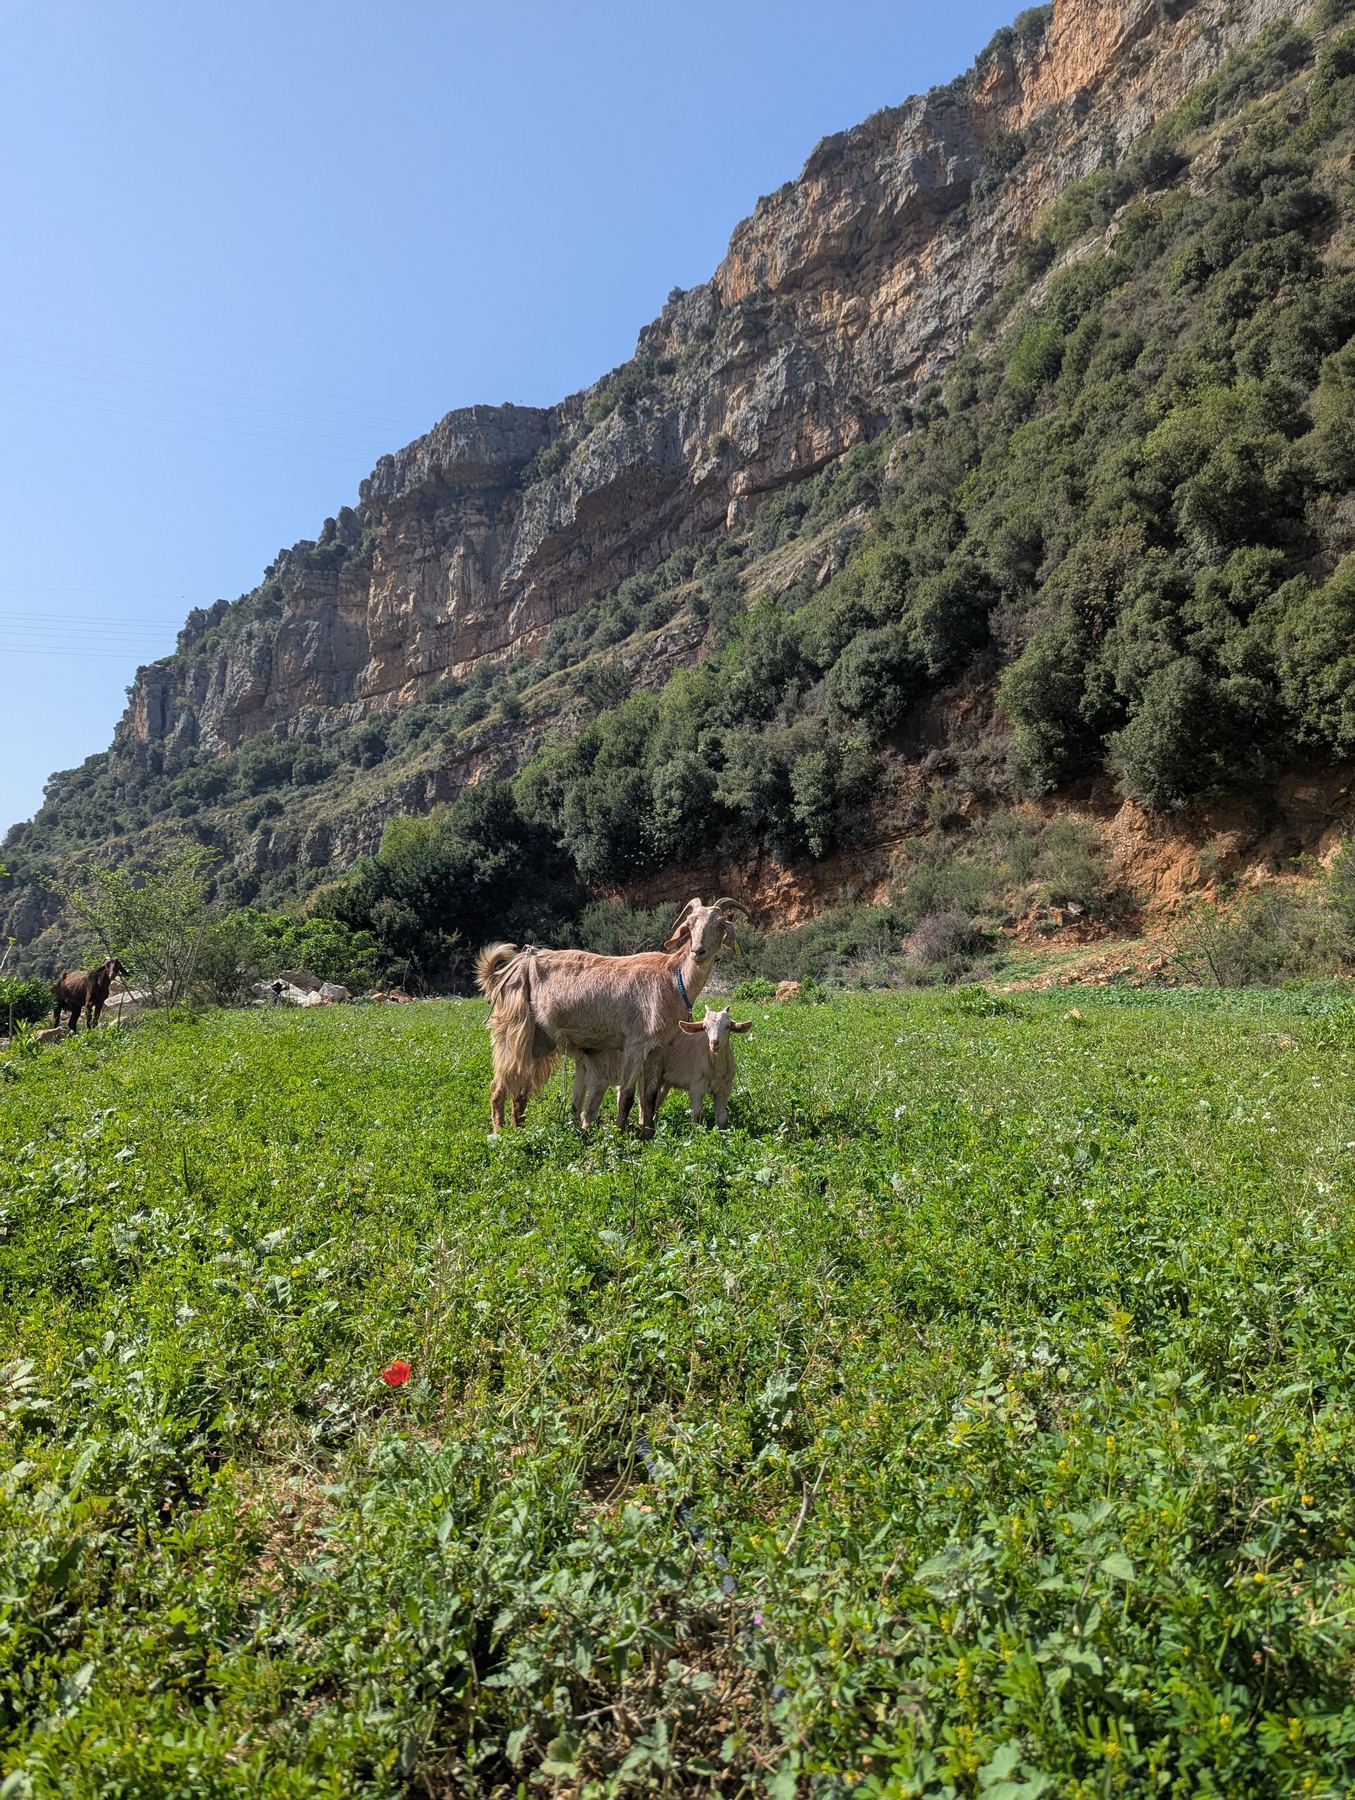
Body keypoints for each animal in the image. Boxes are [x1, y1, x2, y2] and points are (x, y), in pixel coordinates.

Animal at [573, 1005, 752, 1130]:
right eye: (705, 1027)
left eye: (728, 1026)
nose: (714, 1043)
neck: (715, 1066)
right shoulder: (696, 1086)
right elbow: (697, 1114)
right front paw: (696, 1135)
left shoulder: (724, 1088)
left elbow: (722, 1118)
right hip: (601, 1074)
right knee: (589, 1110)